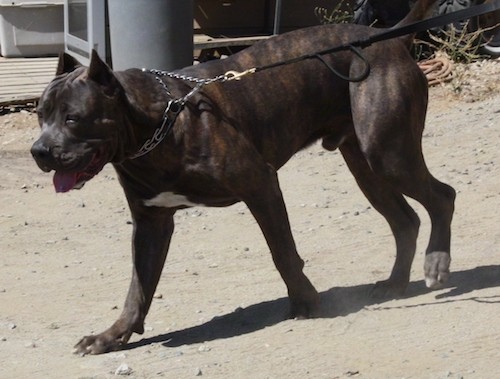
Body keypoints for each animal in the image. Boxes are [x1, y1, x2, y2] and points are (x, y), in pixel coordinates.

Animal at [29, 0, 456, 356]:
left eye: (73, 118)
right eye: (40, 117)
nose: (39, 151)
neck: (156, 126)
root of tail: (389, 40)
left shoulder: (260, 184)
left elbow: (282, 252)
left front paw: (305, 301)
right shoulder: (151, 223)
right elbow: (138, 286)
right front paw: (112, 335)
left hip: (388, 153)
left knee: (443, 197)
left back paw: (436, 262)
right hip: (367, 165)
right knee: (405, 219)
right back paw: (395, 283)